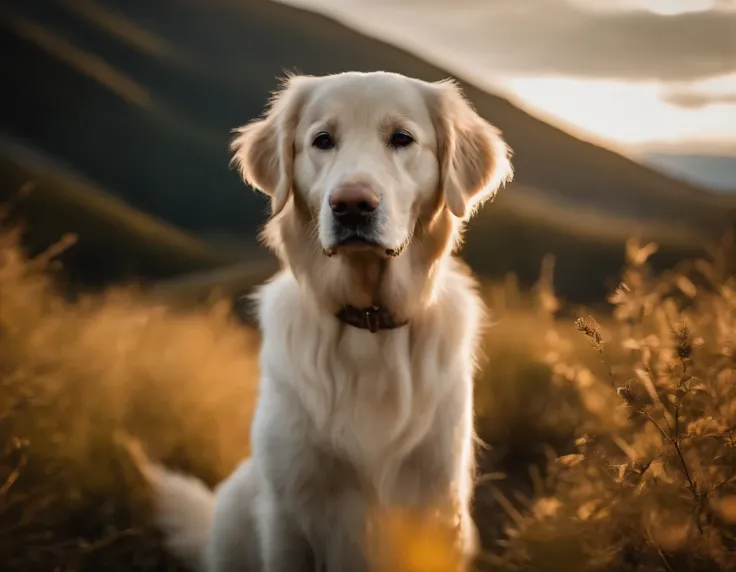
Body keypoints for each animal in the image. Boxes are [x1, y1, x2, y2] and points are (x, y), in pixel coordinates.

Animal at [138, 71, 512, 572]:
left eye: (402, 138)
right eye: (322, 140)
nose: (352, 204)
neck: (368, 321)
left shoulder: (436, 507)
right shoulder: (290, 513)